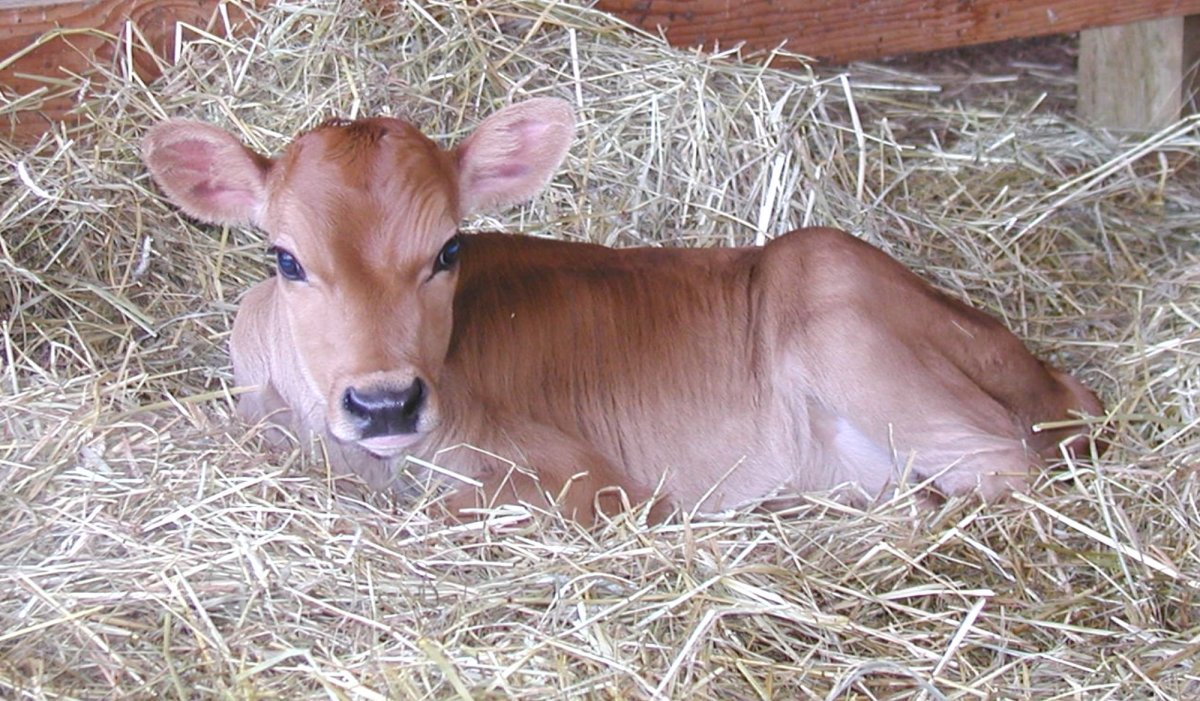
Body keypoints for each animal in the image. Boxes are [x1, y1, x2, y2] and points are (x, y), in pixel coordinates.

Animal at [142, 97, 1103, 522]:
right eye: (286, 258)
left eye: (449, 250)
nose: (385, 402)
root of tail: (1062, 384)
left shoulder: (591, 482)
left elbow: (460, 509)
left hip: (834, 302)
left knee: (1003, 465)